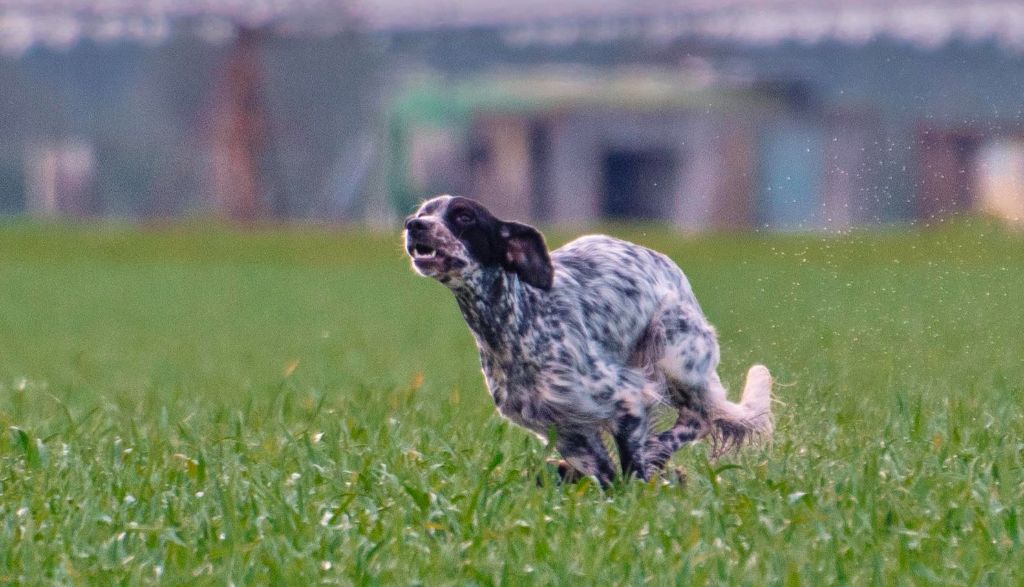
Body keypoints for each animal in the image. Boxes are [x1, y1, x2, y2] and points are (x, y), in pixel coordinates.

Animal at [403, 194, 770, 483]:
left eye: (464, 216)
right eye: (424, 211)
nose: (413, 224)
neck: (516, 325)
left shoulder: (627, 399)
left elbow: (631, 472)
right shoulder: (566, 431)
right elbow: (605, 475)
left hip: (676, 349)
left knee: (700, 417)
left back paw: (659, 450)